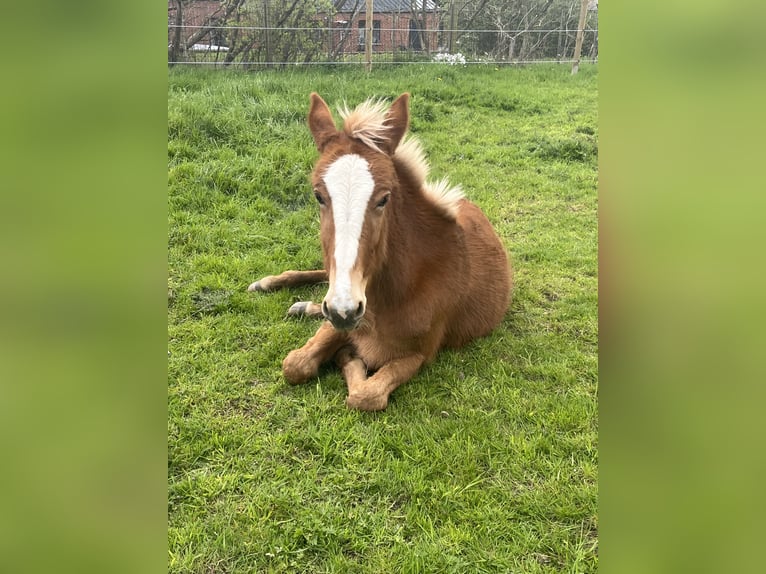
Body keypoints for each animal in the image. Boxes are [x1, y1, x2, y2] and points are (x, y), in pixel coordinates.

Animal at [248, 92, 511, 411]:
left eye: (384, 198)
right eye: (318, 195)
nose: (344, 309)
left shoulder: (420, 355)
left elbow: (365, 396)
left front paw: (348, 356)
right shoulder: (338, 317)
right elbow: (295, 364)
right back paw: (270, 285)